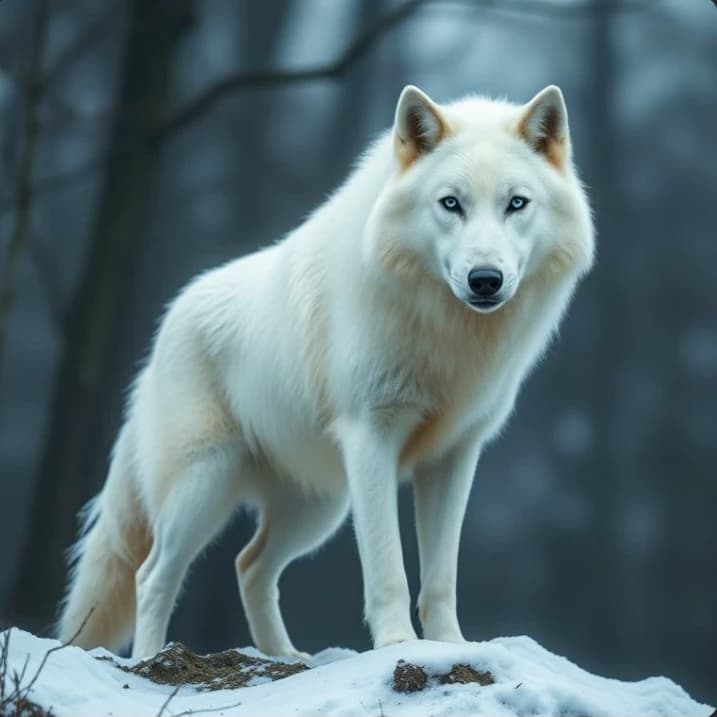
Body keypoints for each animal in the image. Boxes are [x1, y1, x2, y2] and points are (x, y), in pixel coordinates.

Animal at [57, 84, 594, 659]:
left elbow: (440, 575)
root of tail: (160, 337)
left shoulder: (454, 455)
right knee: (153, 575)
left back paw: (284, 656)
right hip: (206, 486)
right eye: (451, 203)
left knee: (249, 566)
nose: (485, 279)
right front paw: (397, 644)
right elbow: (387, 567)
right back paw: (152, 658)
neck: (448, 337)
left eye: (516, 203)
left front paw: (451, 646)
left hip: (318, 508)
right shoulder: (371, 437)